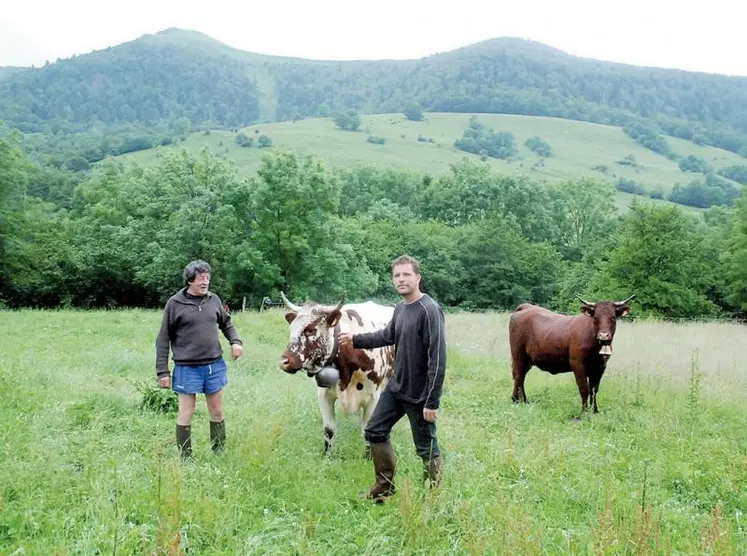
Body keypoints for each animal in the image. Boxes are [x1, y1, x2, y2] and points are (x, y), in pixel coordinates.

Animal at [280, 294, 398, 454]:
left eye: (310, 330)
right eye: (291, 328)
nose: (284, 361)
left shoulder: (373, 397)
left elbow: (367, 431)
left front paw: (368, 456)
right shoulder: (323, 395)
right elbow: (329, 430)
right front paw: (327, 455)